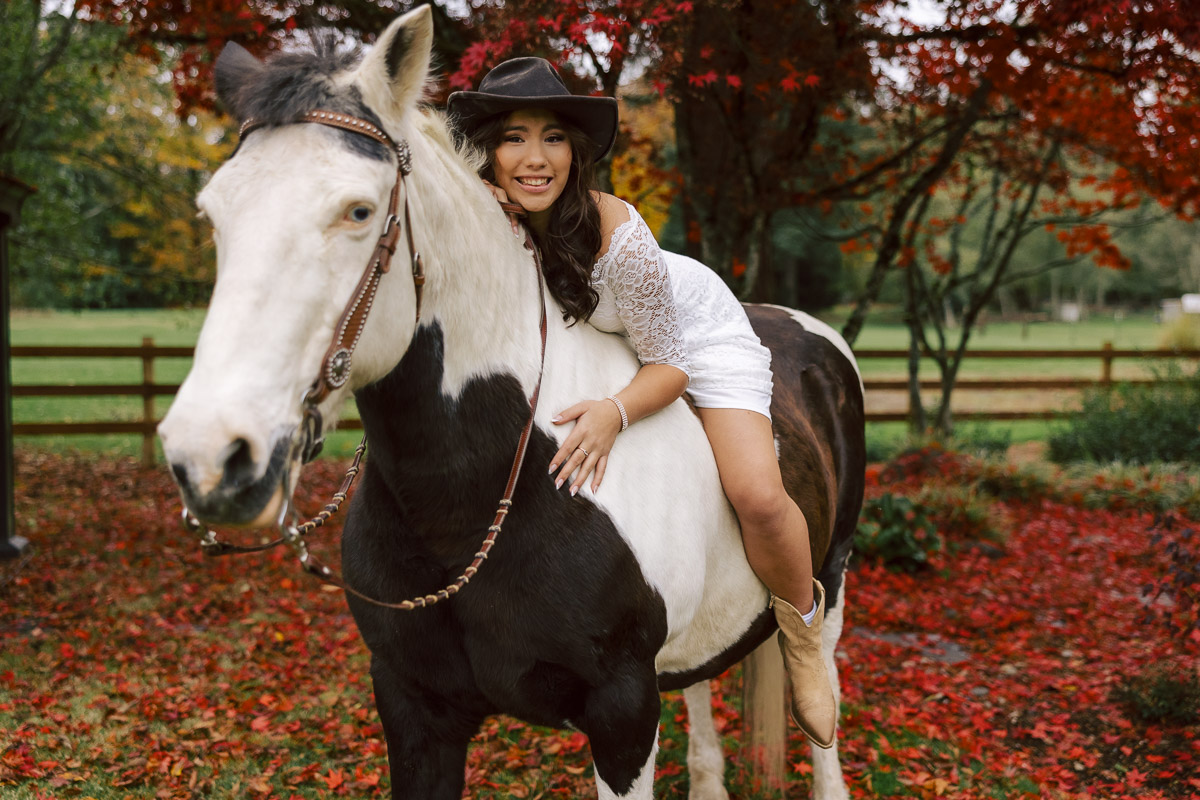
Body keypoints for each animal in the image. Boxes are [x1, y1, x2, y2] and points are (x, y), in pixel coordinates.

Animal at [157, 7, 864, 800]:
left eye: (358, 210)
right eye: (213, 214)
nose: (210, 457)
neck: (485, 490)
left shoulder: (623, 714)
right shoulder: (412, 706)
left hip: (830, 574)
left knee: (817, 671)